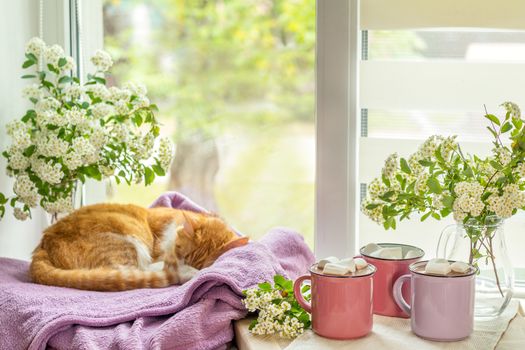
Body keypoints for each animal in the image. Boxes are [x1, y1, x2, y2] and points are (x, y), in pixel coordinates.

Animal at [29, 204, 248, 292]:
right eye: (182, 254)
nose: (184, 264)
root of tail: (44, 242)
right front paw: (185, 270)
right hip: (127, 243)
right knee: (130, 271)